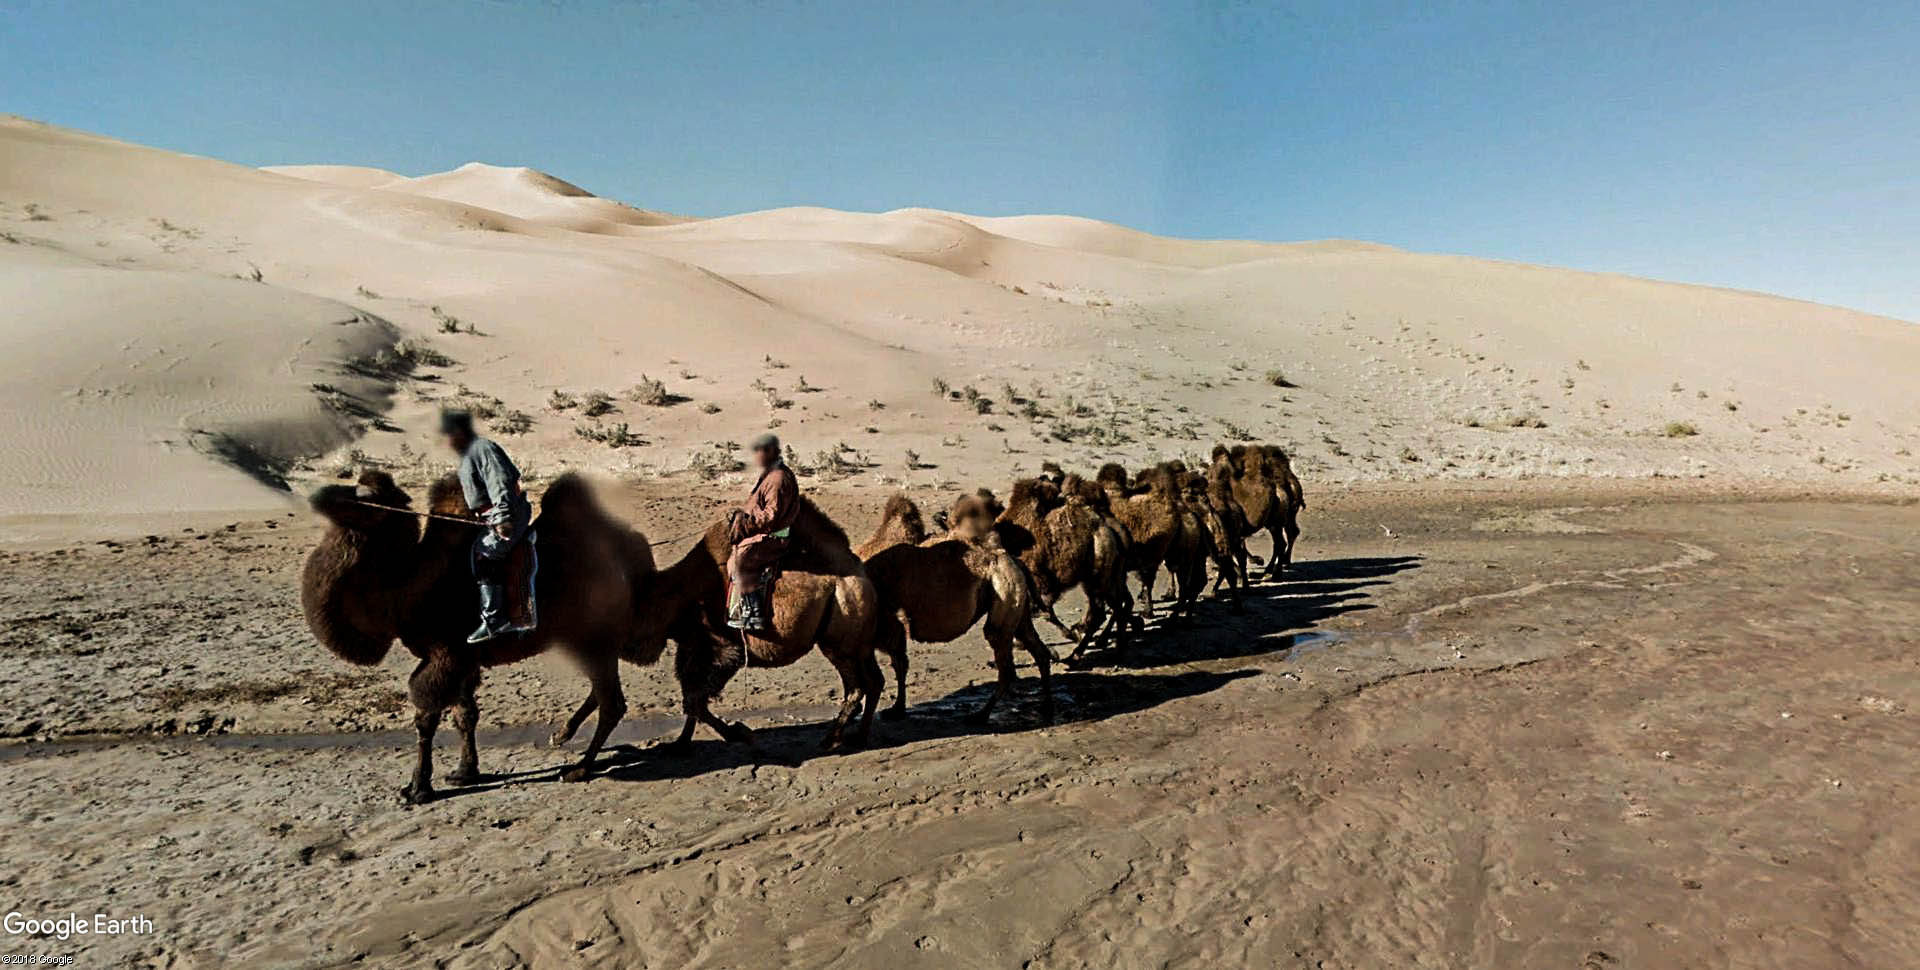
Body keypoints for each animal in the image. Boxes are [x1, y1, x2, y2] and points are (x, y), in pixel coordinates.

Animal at [301, 468, 660, 802]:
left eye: (364, 497)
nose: (319, 495)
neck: (407, 590)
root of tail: (632, 553)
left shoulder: (446, 654)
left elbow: (426, 717)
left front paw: (417, 788)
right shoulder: (463, 658)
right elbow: (465, 714)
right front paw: (464, 771)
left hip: (594, 636)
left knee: (612, 702)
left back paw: (579, 768)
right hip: (579, 638)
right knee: (600, 691)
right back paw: (561, 735)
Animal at [864, 495, 1059, 722]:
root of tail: (1013, 559)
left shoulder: (890, 624)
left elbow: (898, 664)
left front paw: (896, 710)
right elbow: (898, 664)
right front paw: (896, 709)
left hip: (1005, 589)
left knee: (1003, 657)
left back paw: (981, 715)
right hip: (1018, 603)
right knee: (1037, 650)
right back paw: (1046, 708)